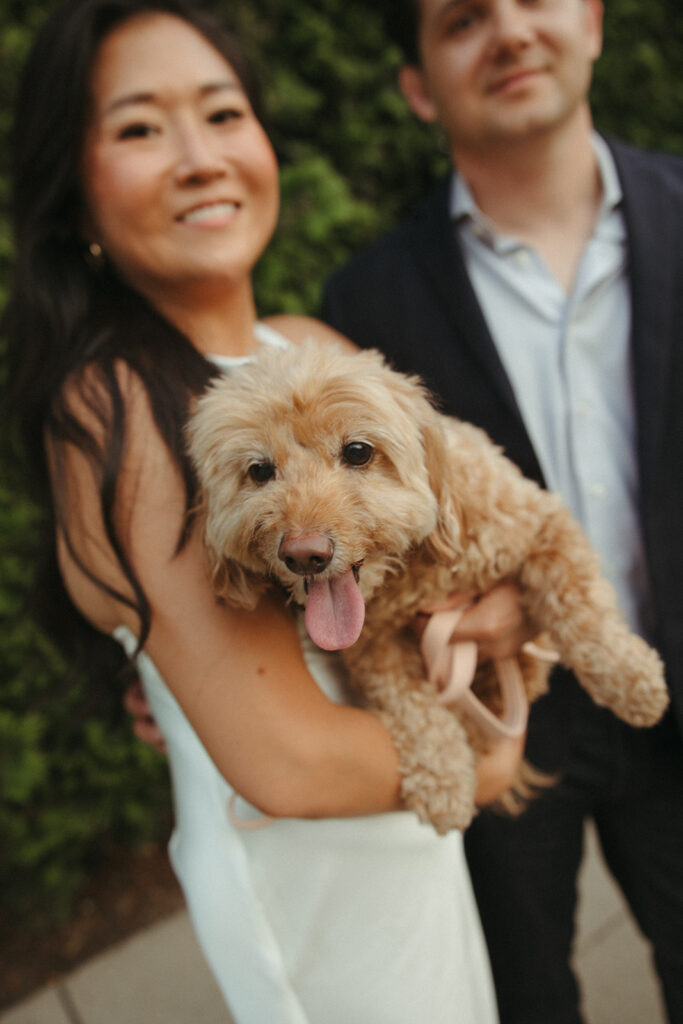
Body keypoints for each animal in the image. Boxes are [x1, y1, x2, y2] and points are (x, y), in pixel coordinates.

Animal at [187, 342, 667, 831]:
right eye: (259, 470)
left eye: (358, 451)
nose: (305, 554)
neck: (409, 573)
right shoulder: (372, 646)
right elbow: (412, 706)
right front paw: (445, 780)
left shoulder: (544, 524)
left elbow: (581, 608)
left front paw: (631, 680)